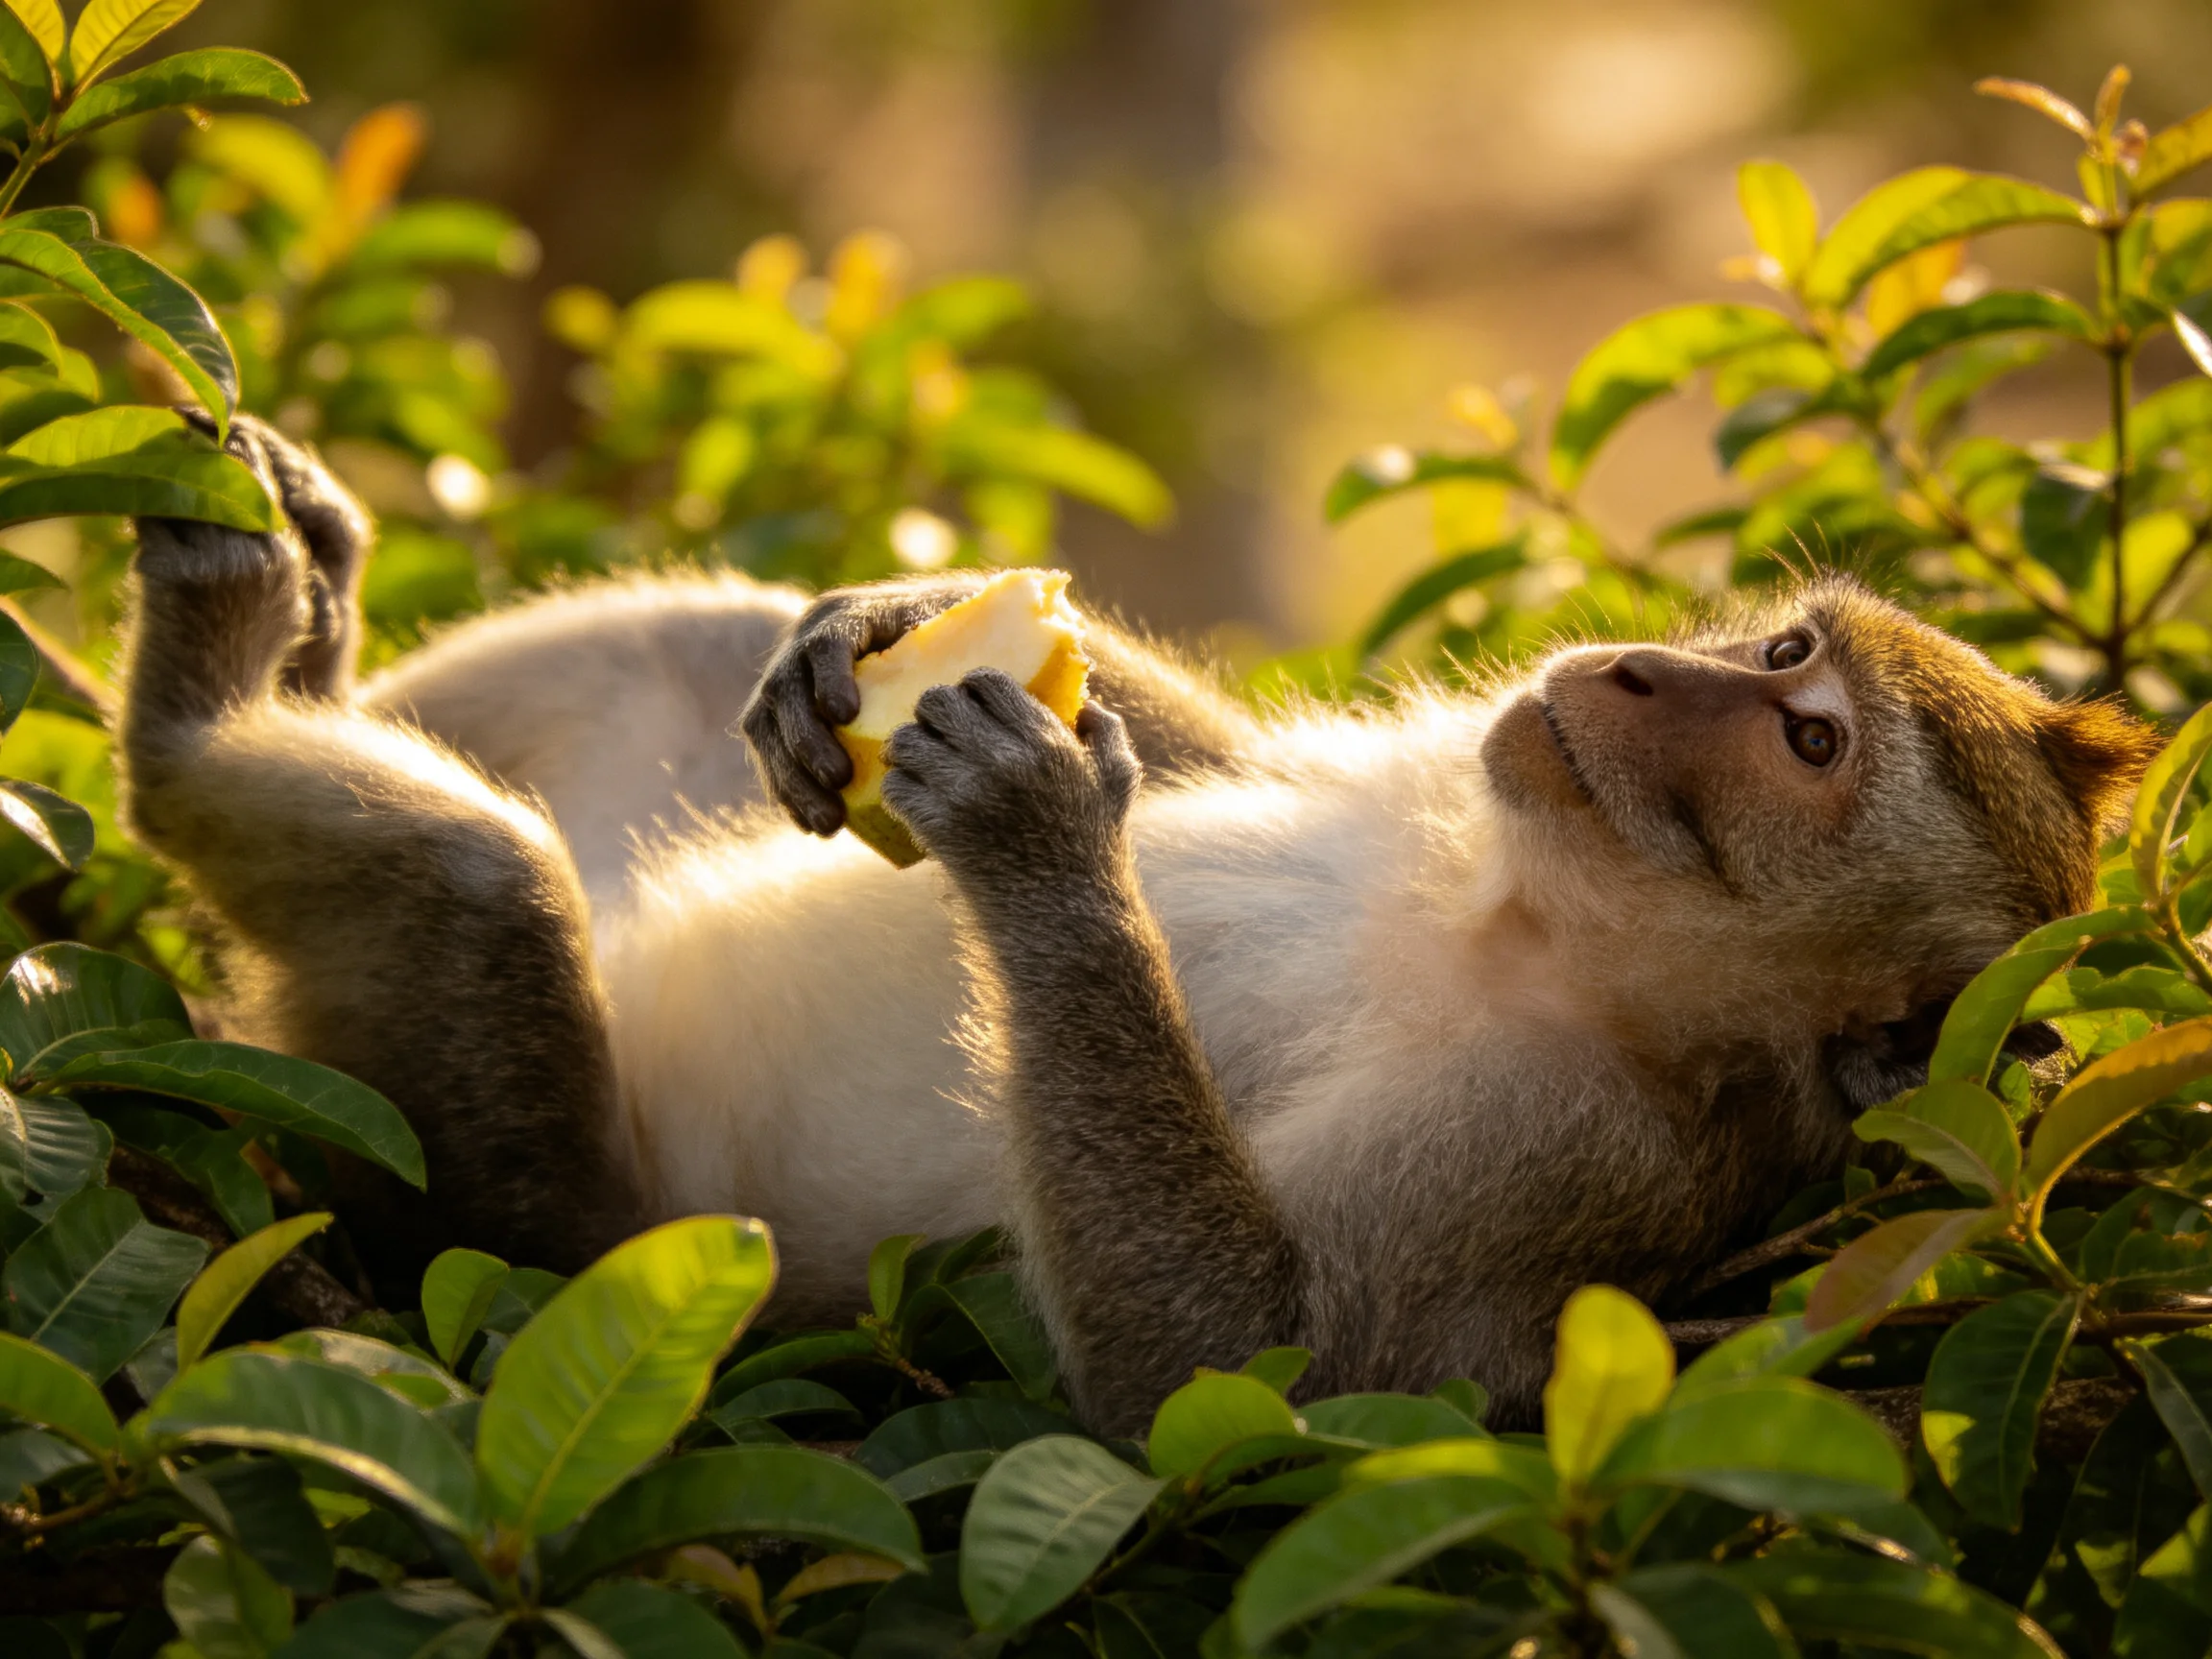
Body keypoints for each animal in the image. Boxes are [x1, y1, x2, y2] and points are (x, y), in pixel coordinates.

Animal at [112, 417, 2156, 1434]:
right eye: (1782, 647)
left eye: (1807, 745)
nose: (1634, 665)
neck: (1523, 905)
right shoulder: (1465, 761)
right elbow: (1216, 754)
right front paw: (883, 622)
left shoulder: (1569, 1152)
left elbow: (1226, 1367)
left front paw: (1039, 854)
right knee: (668, 638)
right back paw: (319, 629)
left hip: (540, 1219)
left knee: (484, 902)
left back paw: (202, 697)